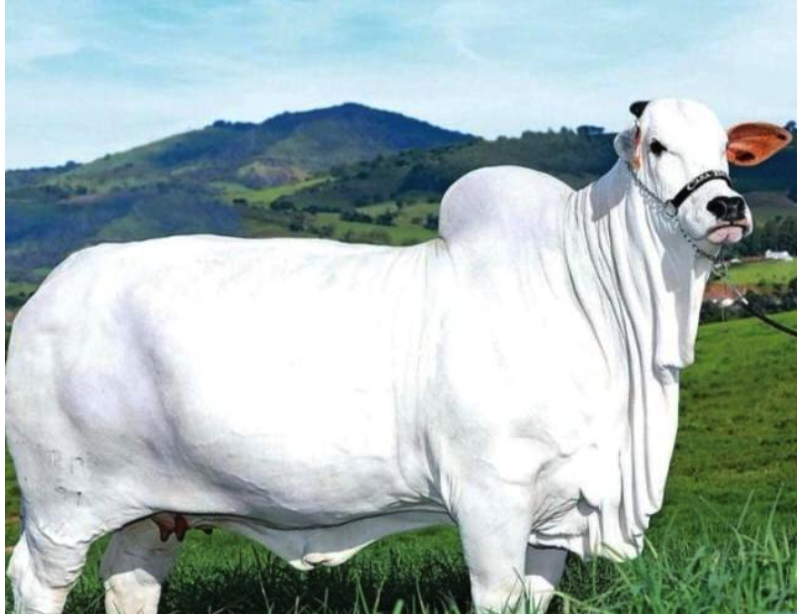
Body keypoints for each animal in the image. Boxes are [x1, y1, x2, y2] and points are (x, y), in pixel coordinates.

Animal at [6, 99, 791, 614]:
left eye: (727, 150)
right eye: (655, 146)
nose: (727, 208)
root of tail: (50, 291)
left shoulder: (556, 511)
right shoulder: (490, 499)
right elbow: (497, 596)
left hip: (154, 510)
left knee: (131, 579)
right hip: (61, 504)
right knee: (37, 581)